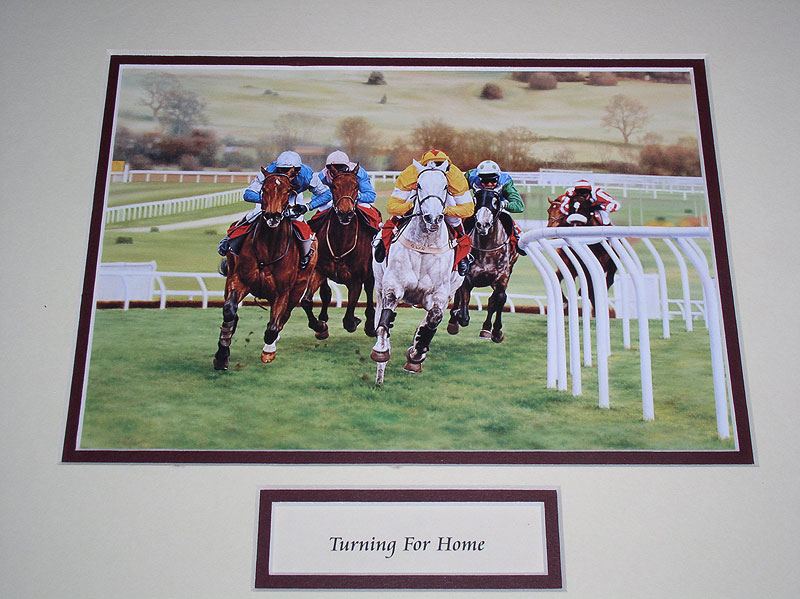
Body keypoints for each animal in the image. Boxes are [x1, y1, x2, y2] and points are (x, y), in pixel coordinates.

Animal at [213, 168, 318, 370]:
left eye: (288, 191)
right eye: (264, 189)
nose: (272, 216)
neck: (269, 249)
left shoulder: (283, 292)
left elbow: (273, 327)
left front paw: (268, 351)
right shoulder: (239, 280)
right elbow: (229, 310)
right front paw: (222, 355)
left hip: (299, 287)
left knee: (284, 317)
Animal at [300, 166, 377, 339]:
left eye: (356, 186)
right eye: (334, 186)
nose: (345, 213)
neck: (341, 242)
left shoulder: (356, 279)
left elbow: (348, 319)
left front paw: (356, 321)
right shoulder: (319, 271)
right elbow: (307, 301)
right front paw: (320, 326)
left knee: (369, 290)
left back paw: (370, 325)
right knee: (326, 293)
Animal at [370, 160, 464, 385]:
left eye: (446, 187)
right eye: (419, 186)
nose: (433, 218)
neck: (424, 245)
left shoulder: (439, 293)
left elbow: (433, 320)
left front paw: (415, 354)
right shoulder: (392, 285)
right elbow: (385, 320)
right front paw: (381, 353)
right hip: (378, 283)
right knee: (380, 316)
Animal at [447, 188, 518, 343]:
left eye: (495, 201)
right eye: (477, 199)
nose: (482, 224)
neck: (487, 249)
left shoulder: (502, 277)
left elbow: (499, 298)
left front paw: (496, 331)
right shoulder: (467, 278)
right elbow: (464, 310)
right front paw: (456, 315)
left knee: (495, 300)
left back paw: (486, 329)